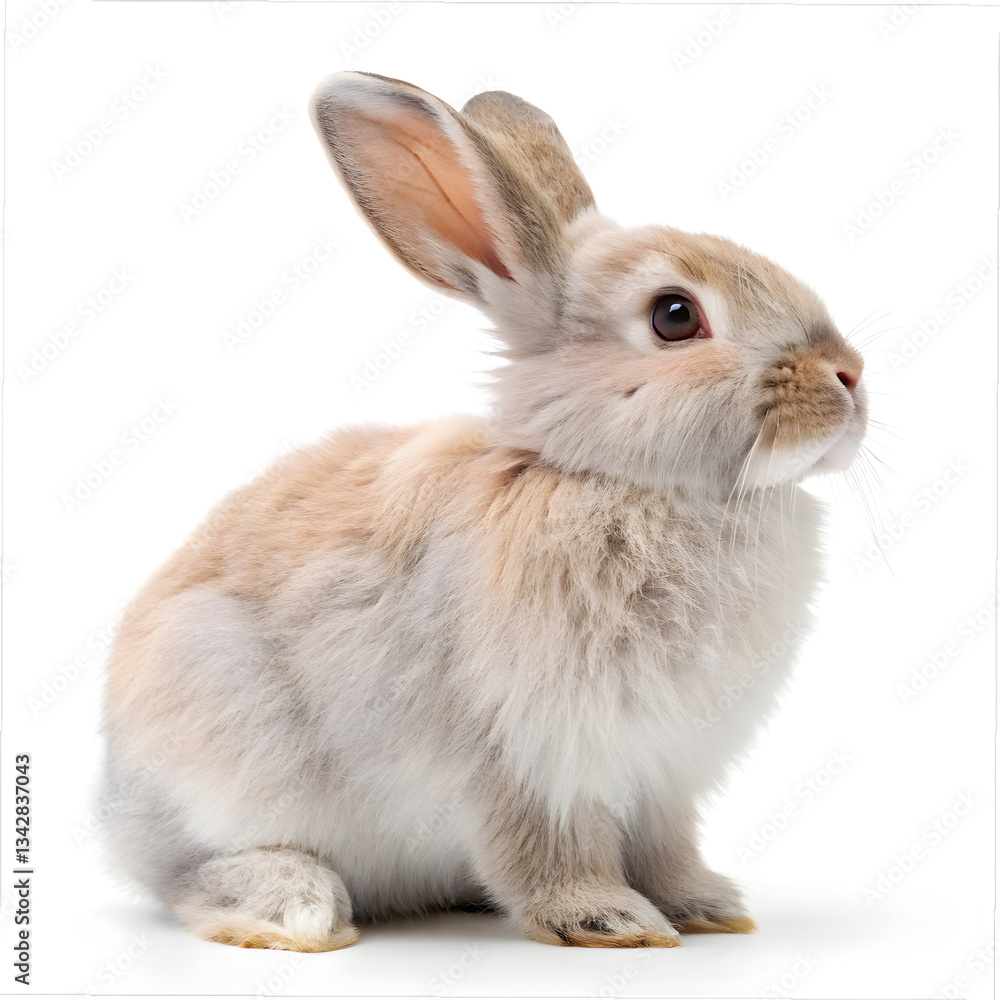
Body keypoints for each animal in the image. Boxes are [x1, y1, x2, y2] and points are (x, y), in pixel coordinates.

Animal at [101, 71, 866, 952]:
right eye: (676, 316)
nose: (849, 375)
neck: (621, 479)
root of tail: (113, 810)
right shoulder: (522, 757)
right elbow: (542, 847)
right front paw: (606, 919)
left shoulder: (664, 772)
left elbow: (667, 846)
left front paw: (704, 907)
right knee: (191, 875)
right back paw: (298, 905)